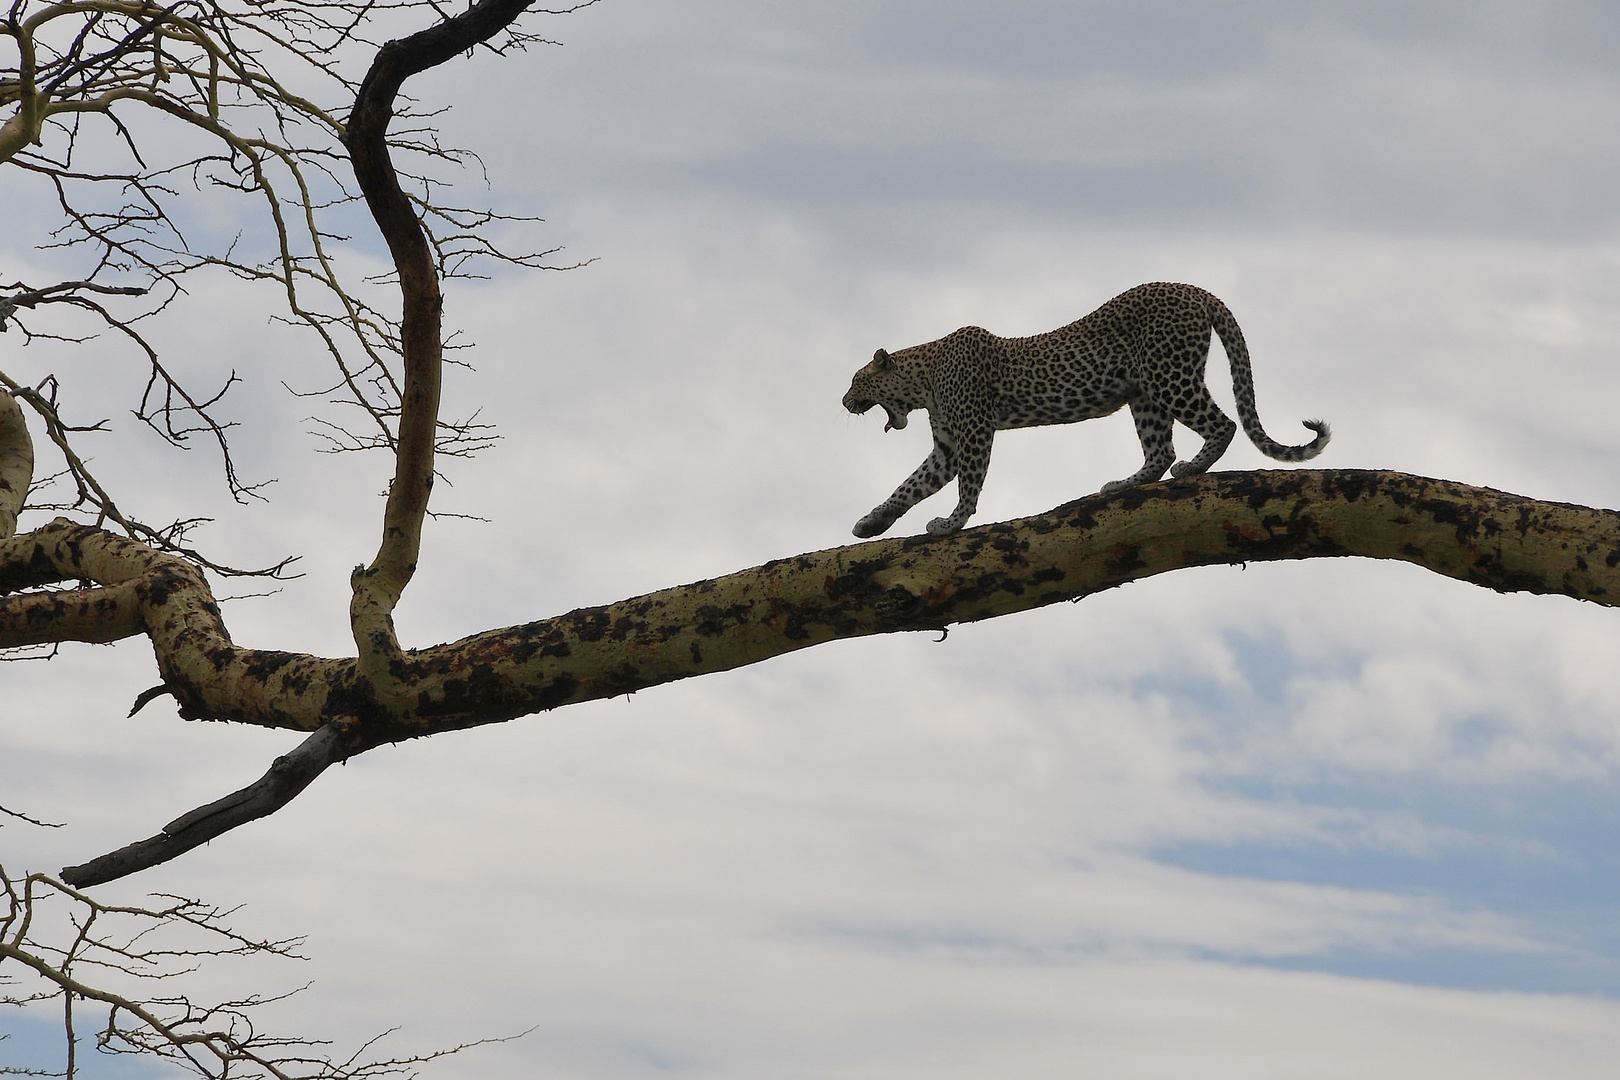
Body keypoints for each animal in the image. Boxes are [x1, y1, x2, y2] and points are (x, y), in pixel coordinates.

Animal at [848, 281, 1328, 537]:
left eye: (856, 380)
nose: (844, 401)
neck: (923, 379)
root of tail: (1194, 288)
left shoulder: (974, 433)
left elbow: (968, 483)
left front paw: (953, 523)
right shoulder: (947, 446)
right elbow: (910, 485)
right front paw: (872, 522)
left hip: (1169, 376)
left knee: (1221, 424)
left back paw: (1192, 468)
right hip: (1143, 394)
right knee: (1160, 451)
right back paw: (1122, 484)